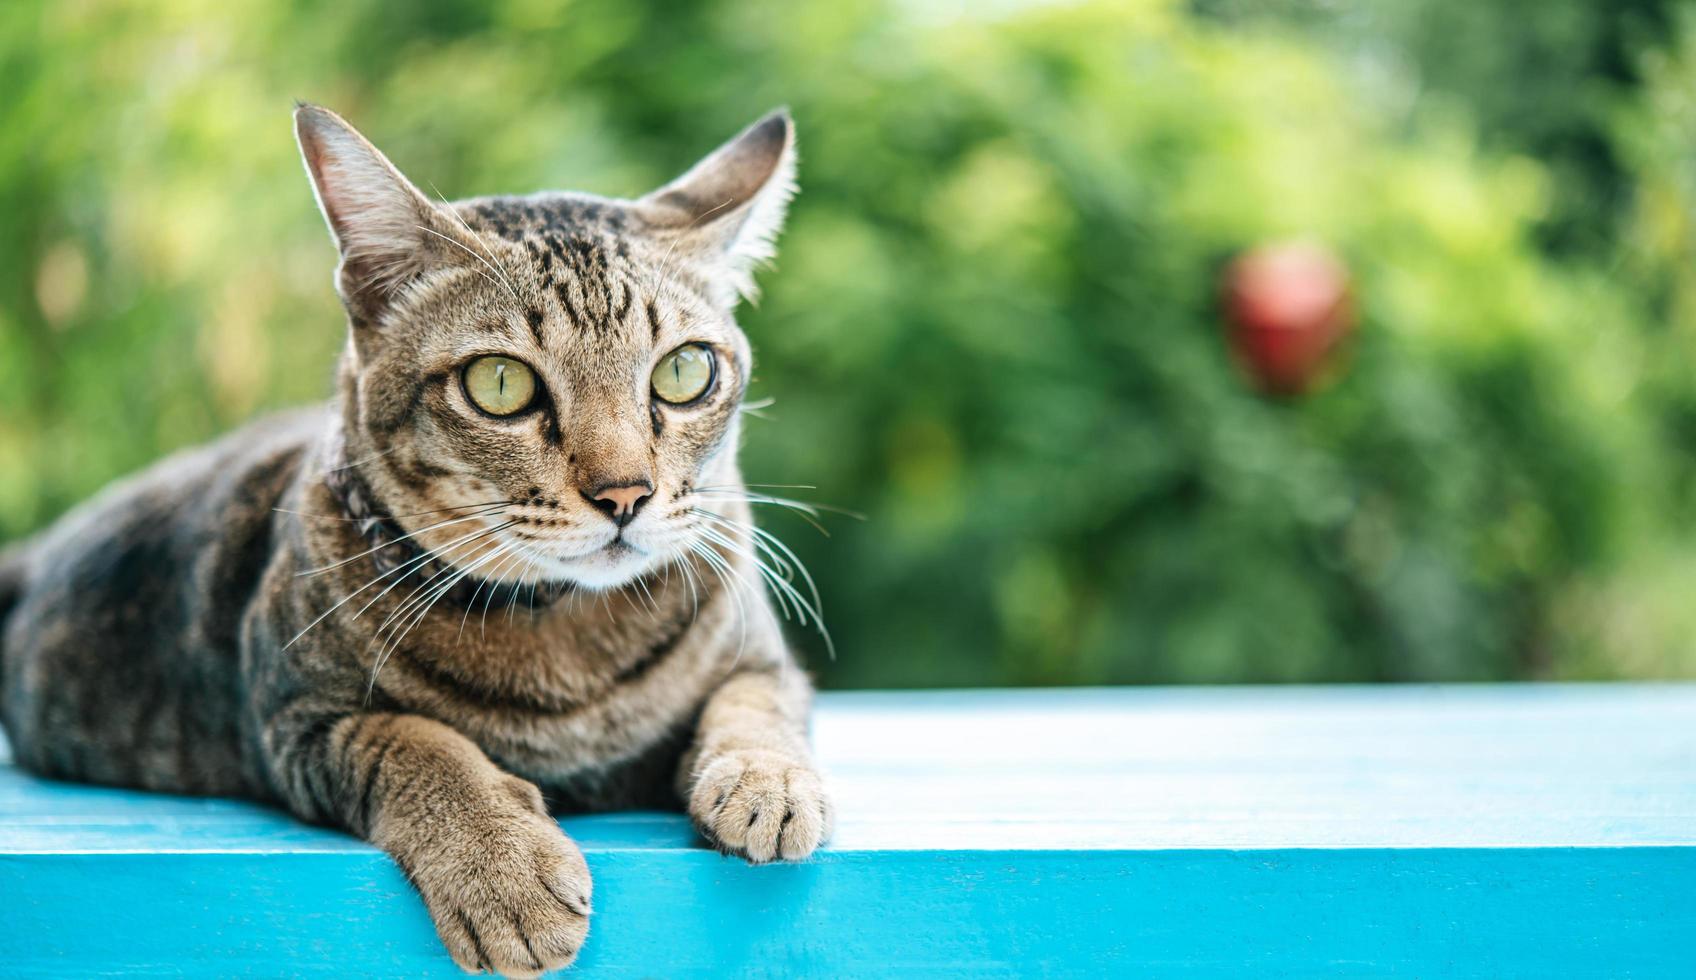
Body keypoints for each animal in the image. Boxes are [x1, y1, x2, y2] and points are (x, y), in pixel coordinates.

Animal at [0, 103, 827, 969]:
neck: (570, 645)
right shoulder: (299, 722)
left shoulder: (766, 659)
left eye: (684, 372)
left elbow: (756, 704)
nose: (624, 494)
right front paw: (503, 866)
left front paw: (768, 785)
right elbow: (419, 745)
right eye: (500, 383)